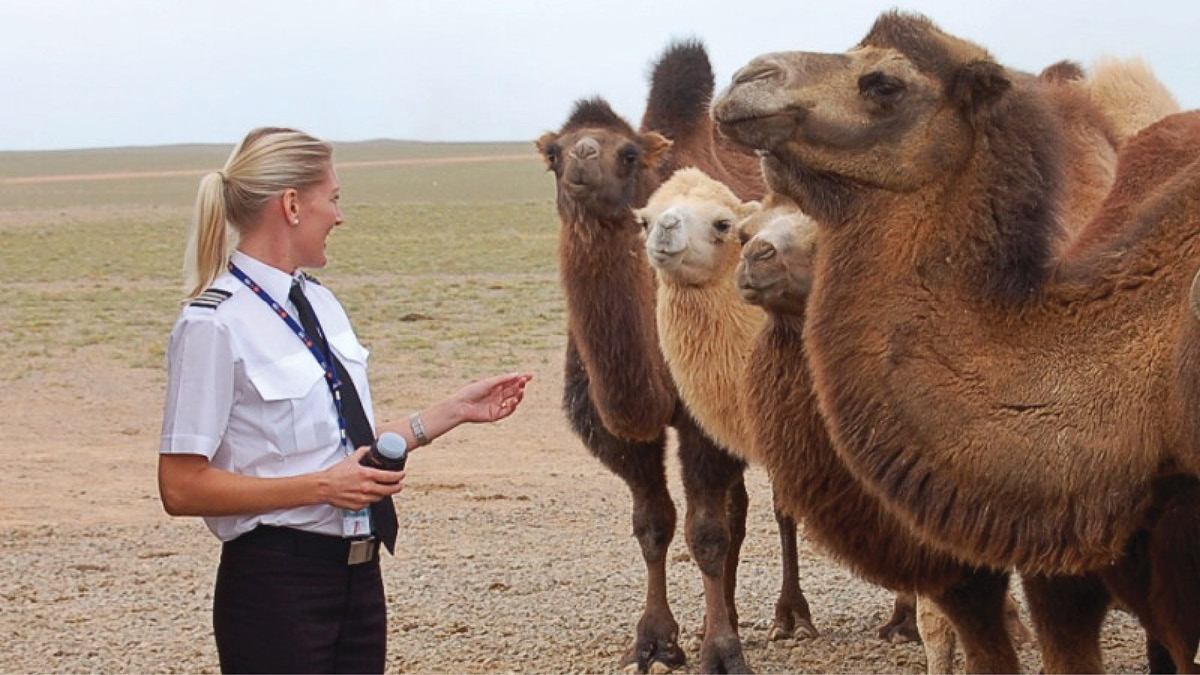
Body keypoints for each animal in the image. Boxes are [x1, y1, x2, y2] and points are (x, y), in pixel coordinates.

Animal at [535, 43, 816, 672]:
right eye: (555, 153)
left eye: (628, 152)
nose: (582, 159)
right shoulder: (619, 434)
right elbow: (653, 524)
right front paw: (656, 640)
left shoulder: (701, 419)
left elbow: (706, 533)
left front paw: (721, 650)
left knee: (780, 503)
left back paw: (796, 615)